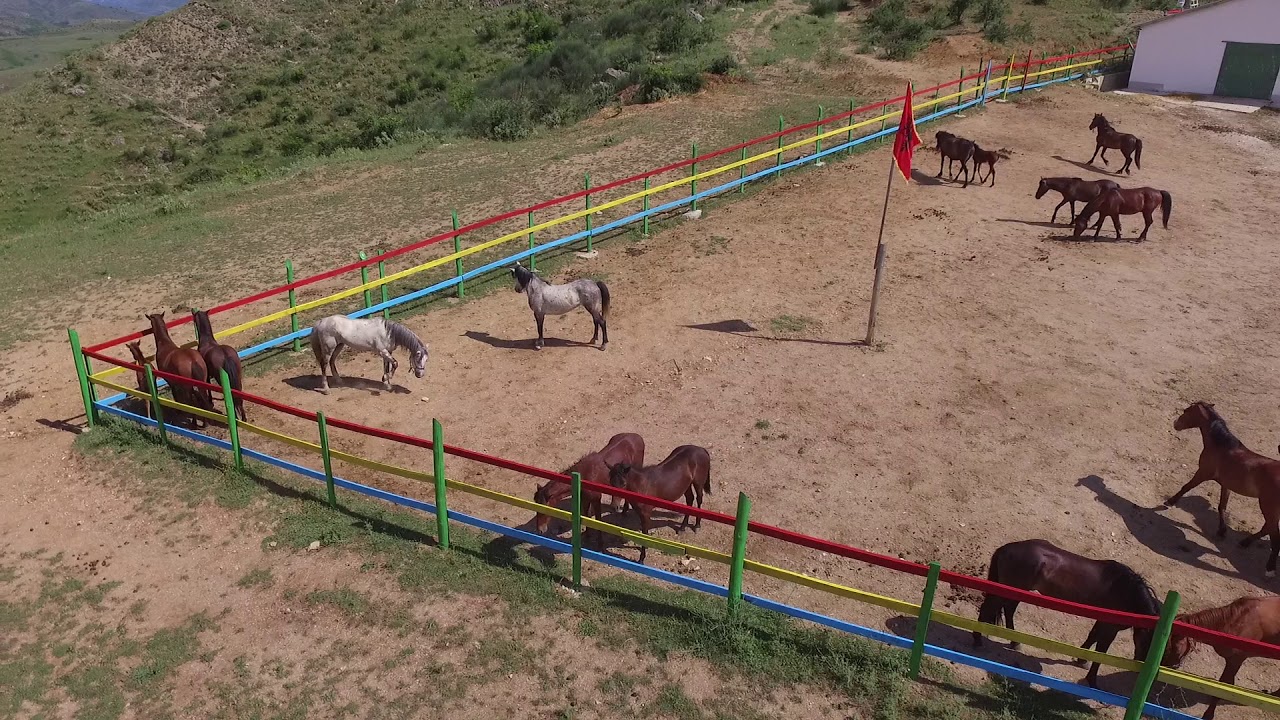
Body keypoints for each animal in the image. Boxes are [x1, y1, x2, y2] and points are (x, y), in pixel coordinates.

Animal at [971, 539, 1174, 688]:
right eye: (1149, 642)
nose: (1140, 669)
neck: (1127, 591)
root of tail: (1006, 548)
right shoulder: (1110, 628)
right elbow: (1101, 652)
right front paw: (1092, 681)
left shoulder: (1103, 620)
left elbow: (1092, 636)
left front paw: (1081, 659)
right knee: (989, 609)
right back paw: (978, 640)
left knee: (1009, 610)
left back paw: (1014, 642)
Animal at [1165, 402, 1280, 576]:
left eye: (1186, 411)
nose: (1175, 424)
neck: (1222, 446)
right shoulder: (1226, 485)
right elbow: (1222, 506)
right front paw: (1221, 531)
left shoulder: (1202, 473)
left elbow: (1186, 487)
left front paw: (1170, 502)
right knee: (1267, 528)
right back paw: (1244, 543)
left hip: (1268, 507)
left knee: (1274, 535)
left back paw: (1270, 569)